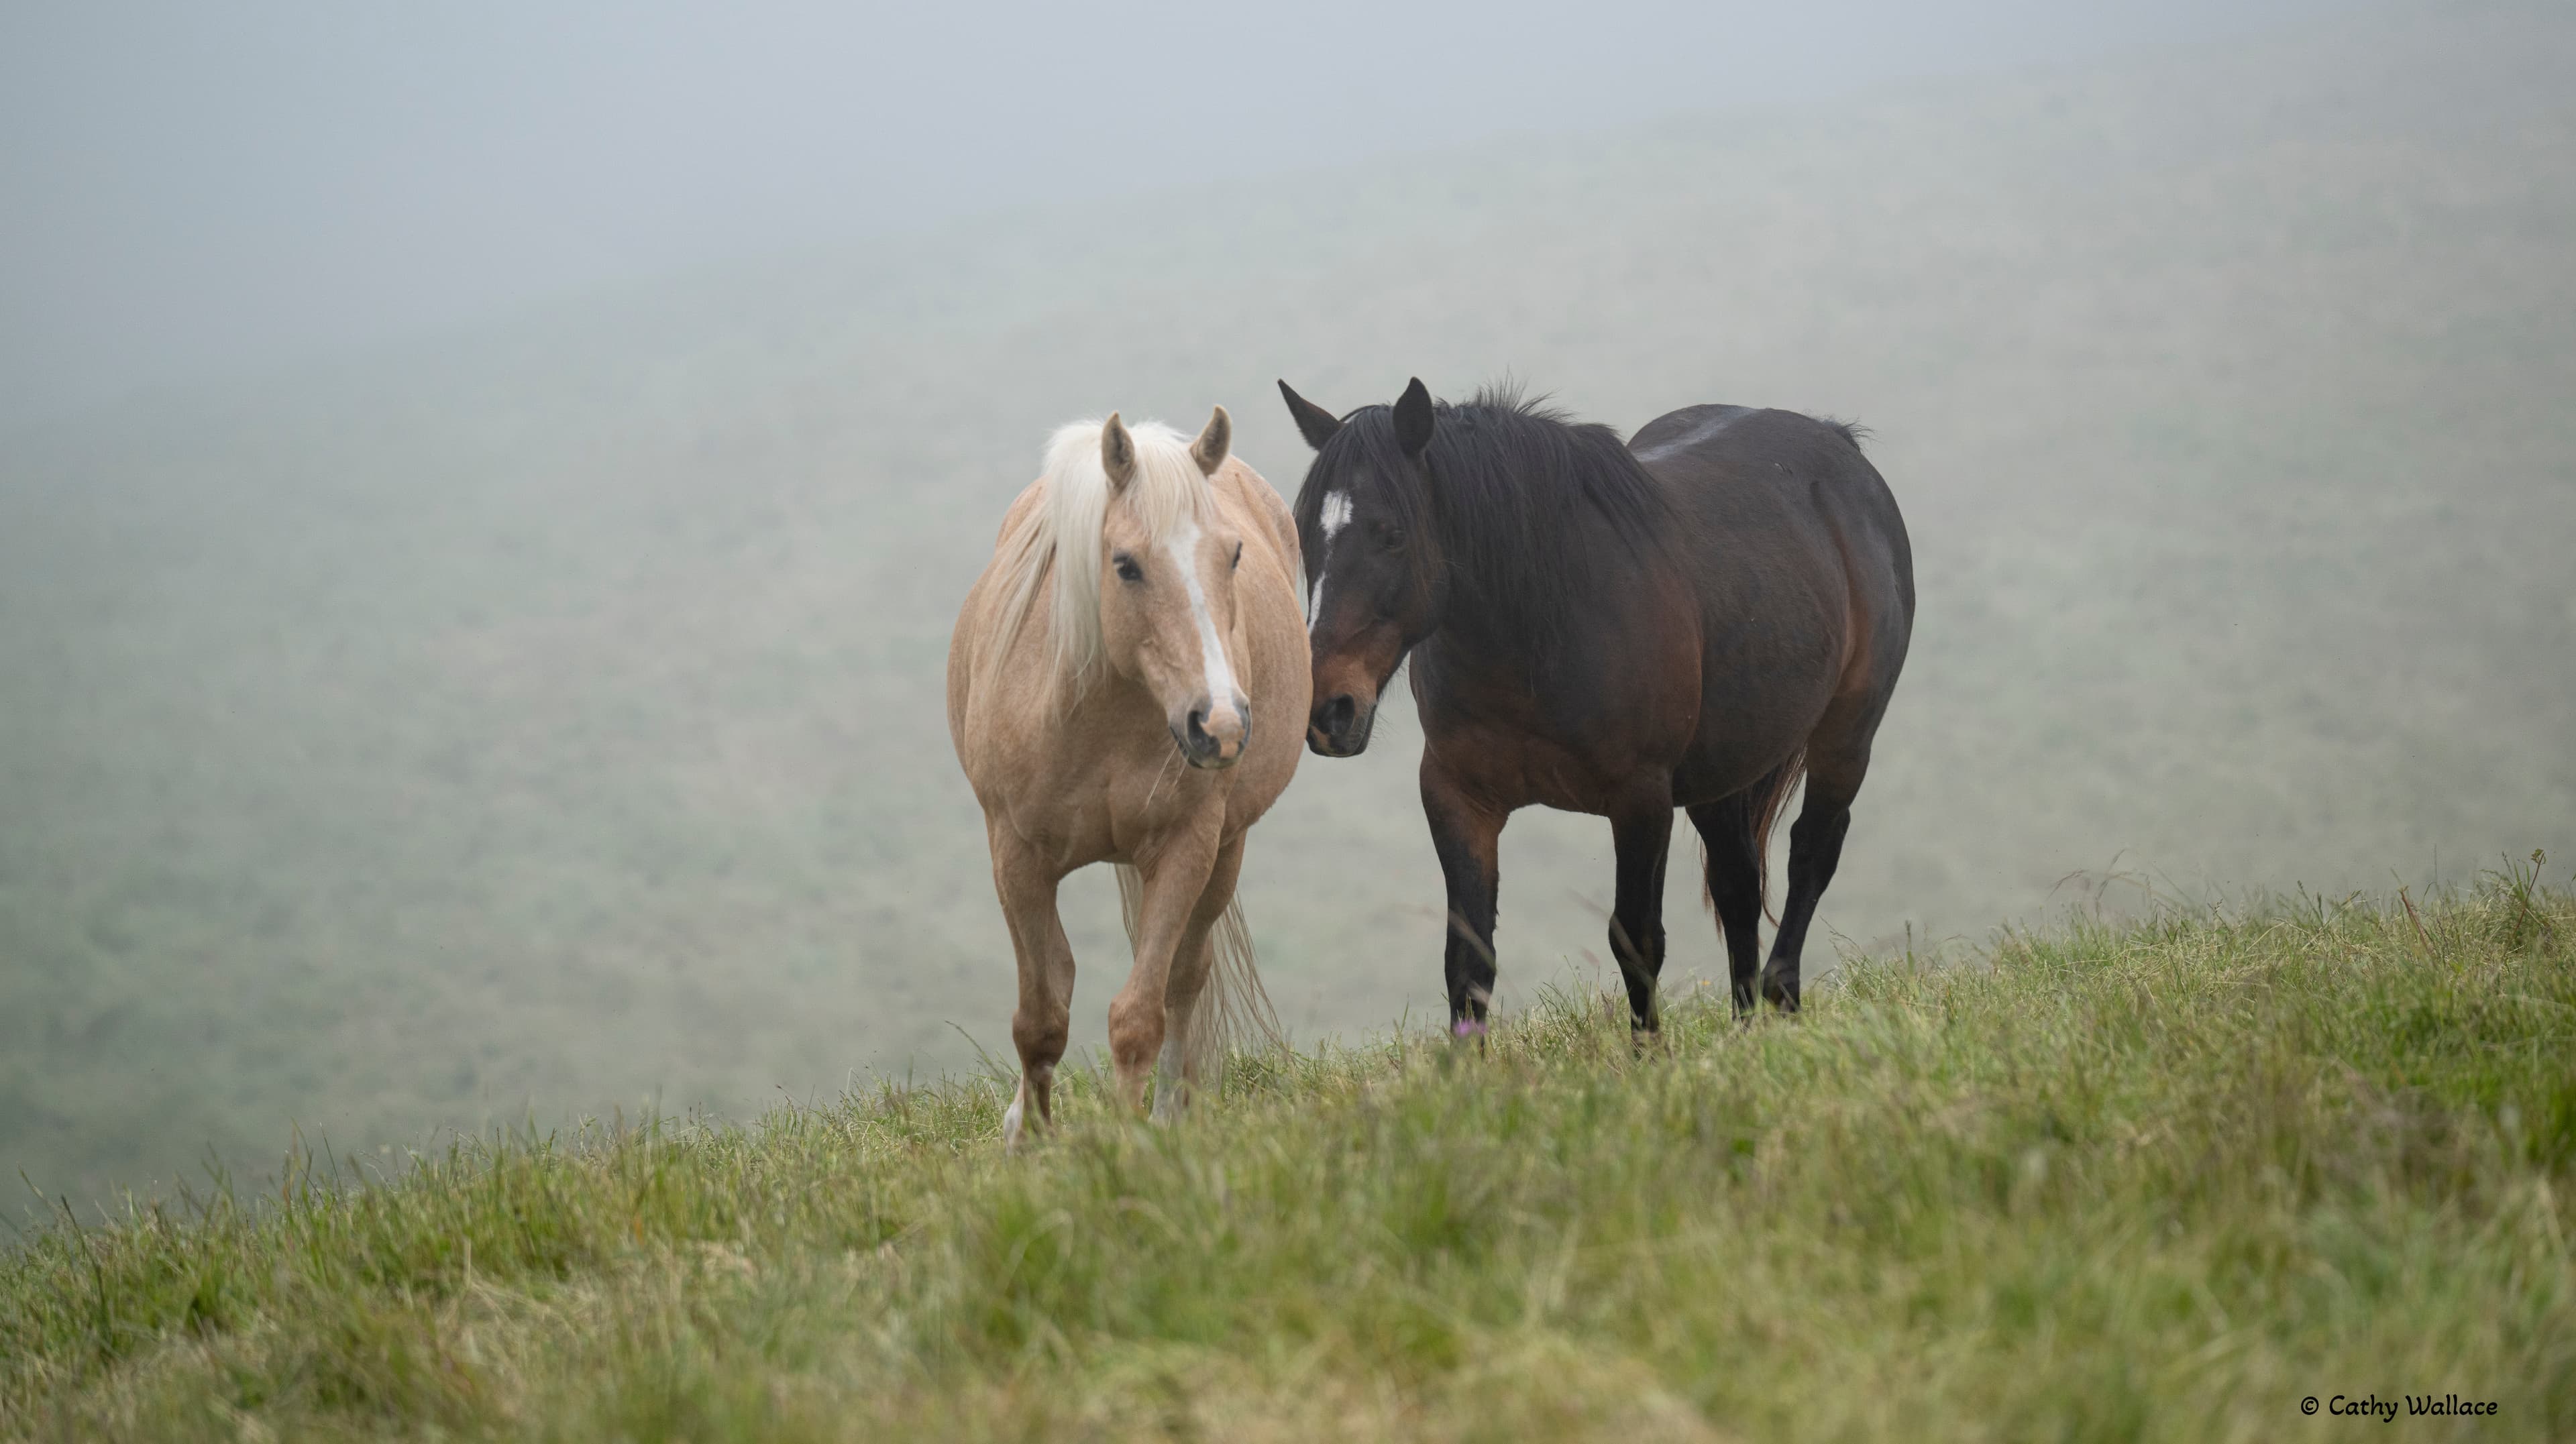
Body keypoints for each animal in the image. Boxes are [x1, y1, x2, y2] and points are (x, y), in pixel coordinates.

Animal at [948, 406, 1307, 1145]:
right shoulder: (1016, 857)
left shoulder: (1185, 848)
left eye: (1233, 554)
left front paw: (1129, 1143)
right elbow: (1041, 1016)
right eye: (1126, 564)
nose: (1220, 723)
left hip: (1226, 848)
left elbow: (1142, 1012)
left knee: (1185, 977)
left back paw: (1171, 1110)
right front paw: (1029, 1138)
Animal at [1277, 377, 1913, 1038]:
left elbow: (1636, 940)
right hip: (1721, 771)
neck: (1541, 625)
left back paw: (1779, 993)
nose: (1330, 709)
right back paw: (1745, 1032)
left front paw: (1649, 1054)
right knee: (1737, 884)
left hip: (1846, 734)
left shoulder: (1640, 800)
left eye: (1391, 533)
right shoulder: (1457, 796)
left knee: (1812, 852)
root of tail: (1839, 447)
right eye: (1304, 535)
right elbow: (1468, 960)